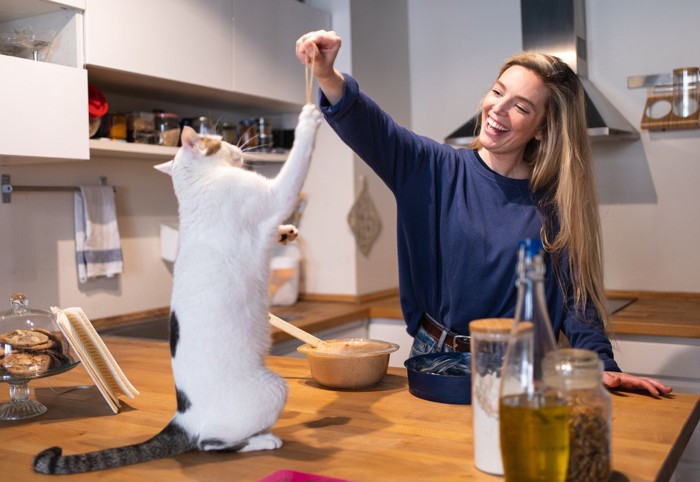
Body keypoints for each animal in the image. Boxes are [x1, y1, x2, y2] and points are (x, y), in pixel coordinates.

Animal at [34, 102, 324, 474]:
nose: (238, 148)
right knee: (211, 444)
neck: (194, 187)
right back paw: (264, 440)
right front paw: (309, 119)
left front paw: (286, 231)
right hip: (274, 387)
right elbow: (295, 167)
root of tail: (182, 416)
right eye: (219, 139)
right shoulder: (272, 195)